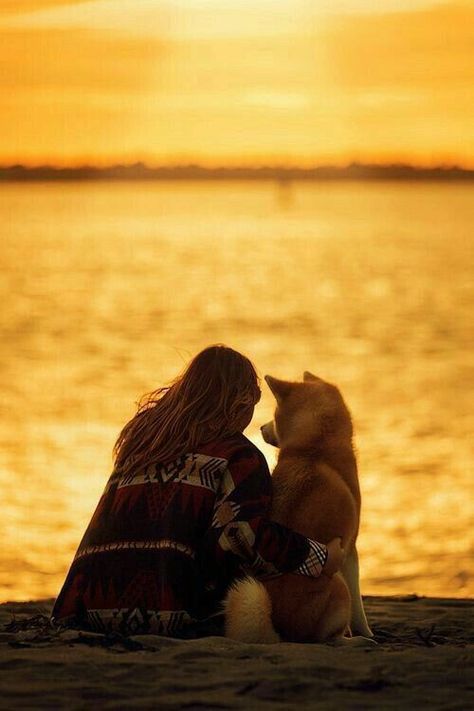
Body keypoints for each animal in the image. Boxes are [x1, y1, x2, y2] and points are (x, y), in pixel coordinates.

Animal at [226, 372, 374, 644]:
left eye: (273, 416)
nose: (260, 428)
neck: (314, 448)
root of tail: (281, 632)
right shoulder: (351, 550)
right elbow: (359, 612)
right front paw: (365, 631)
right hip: (339, 585)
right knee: (327, 639)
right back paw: (354, 640)